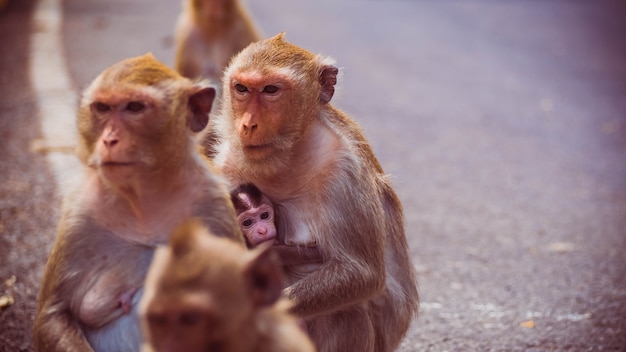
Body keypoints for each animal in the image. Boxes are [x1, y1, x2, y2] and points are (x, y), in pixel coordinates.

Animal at [33, 52, 244, 352]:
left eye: (134, 107)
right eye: (102, 107)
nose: (109, 140)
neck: (143, 203)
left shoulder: (215, 209)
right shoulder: (80, 212)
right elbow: (53, 314)